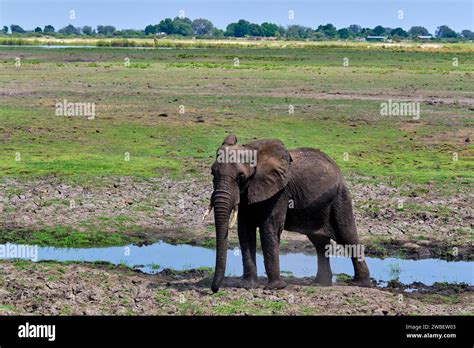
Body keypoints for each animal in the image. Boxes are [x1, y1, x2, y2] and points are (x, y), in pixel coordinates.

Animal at [206, 135, 372, 292]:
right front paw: (247, 286)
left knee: (347, 236)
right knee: (319, 242)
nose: (214, 290)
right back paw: (320, 283)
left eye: (241, 176)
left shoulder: (280, 191)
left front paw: (274, 287)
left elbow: (270, 228)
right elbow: (245, 230)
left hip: (340, 197)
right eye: (212, 173)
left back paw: (360, 283)